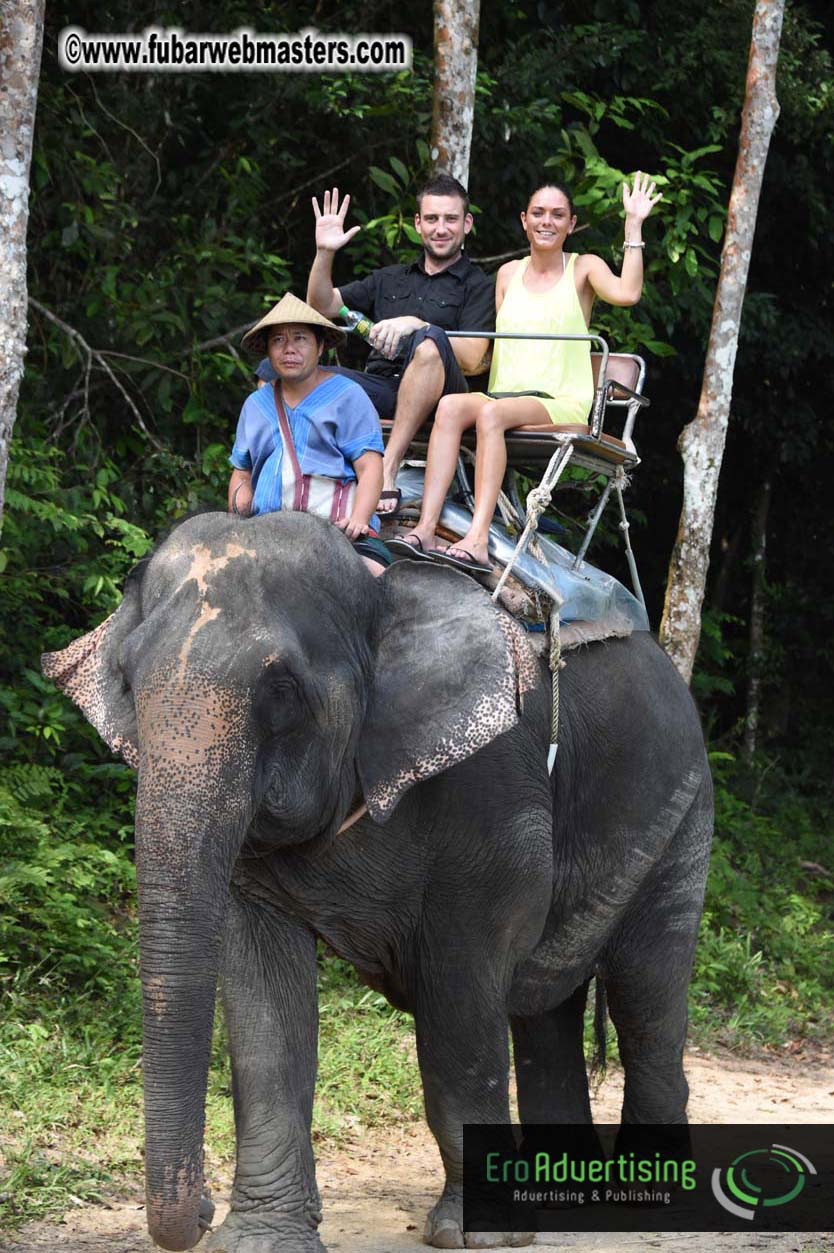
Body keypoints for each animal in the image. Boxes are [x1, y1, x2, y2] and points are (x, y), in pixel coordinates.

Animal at [42, 509, 713, 1253]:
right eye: (128, 683)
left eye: (281, 688)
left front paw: (476, 1234)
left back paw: (652, 1201)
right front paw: (263, 1238)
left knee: (645, 993)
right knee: (546, 1006)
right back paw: (561, 1198)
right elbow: (264, 1002)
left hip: (681, 810)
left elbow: (458, 998)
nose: (205, 1207)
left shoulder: (493, 790)